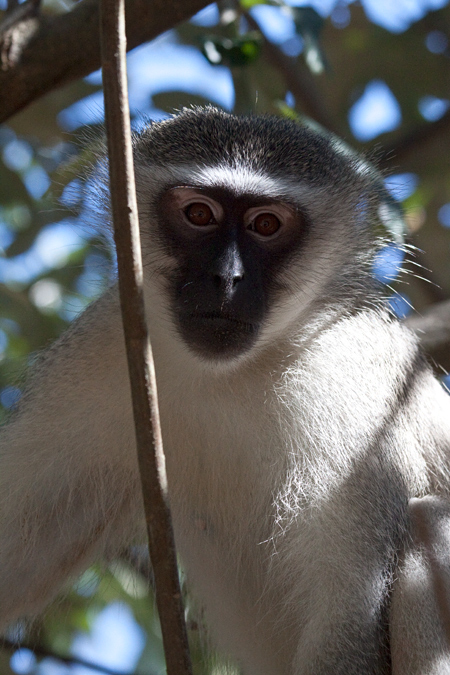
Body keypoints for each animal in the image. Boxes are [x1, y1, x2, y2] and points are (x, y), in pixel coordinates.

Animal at [0, 108, 450, 672]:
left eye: (266, 224)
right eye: (199, 214)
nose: (226, 278)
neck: (224, 377)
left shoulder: (355, 399)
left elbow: (346, 617)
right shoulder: (101, 351)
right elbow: (17, 558)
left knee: (431, 518)